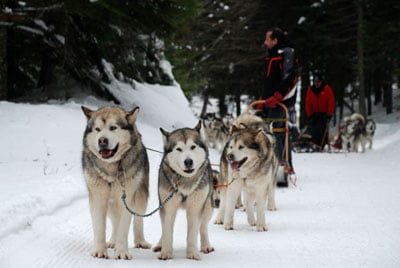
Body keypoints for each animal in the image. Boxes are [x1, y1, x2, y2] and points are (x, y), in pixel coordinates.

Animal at [80, 106, 151, 260]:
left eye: (113, 128)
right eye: (97, 129)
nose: (102, 140)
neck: (111, 168)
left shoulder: (128, 198)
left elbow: (124, 227)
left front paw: (122, 252)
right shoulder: (98, 198)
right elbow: (100, 227)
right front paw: (99, 251)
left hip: (140, 197)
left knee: (137, 220)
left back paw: (140, 241)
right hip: (111, 202)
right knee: (114, 221)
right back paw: (112, 241)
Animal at [154, 121, 216, 260]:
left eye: (193, 147)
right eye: (179, 149)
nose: (188, 162)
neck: (184, 181)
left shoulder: (195, 208)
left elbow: (193, 233)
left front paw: (192, 253)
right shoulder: (168, 207)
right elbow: (167, 231)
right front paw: (166, 252)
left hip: (208, 206)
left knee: (203, 227)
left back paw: (205, 246)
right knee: (163, 228)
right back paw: (160, 244)